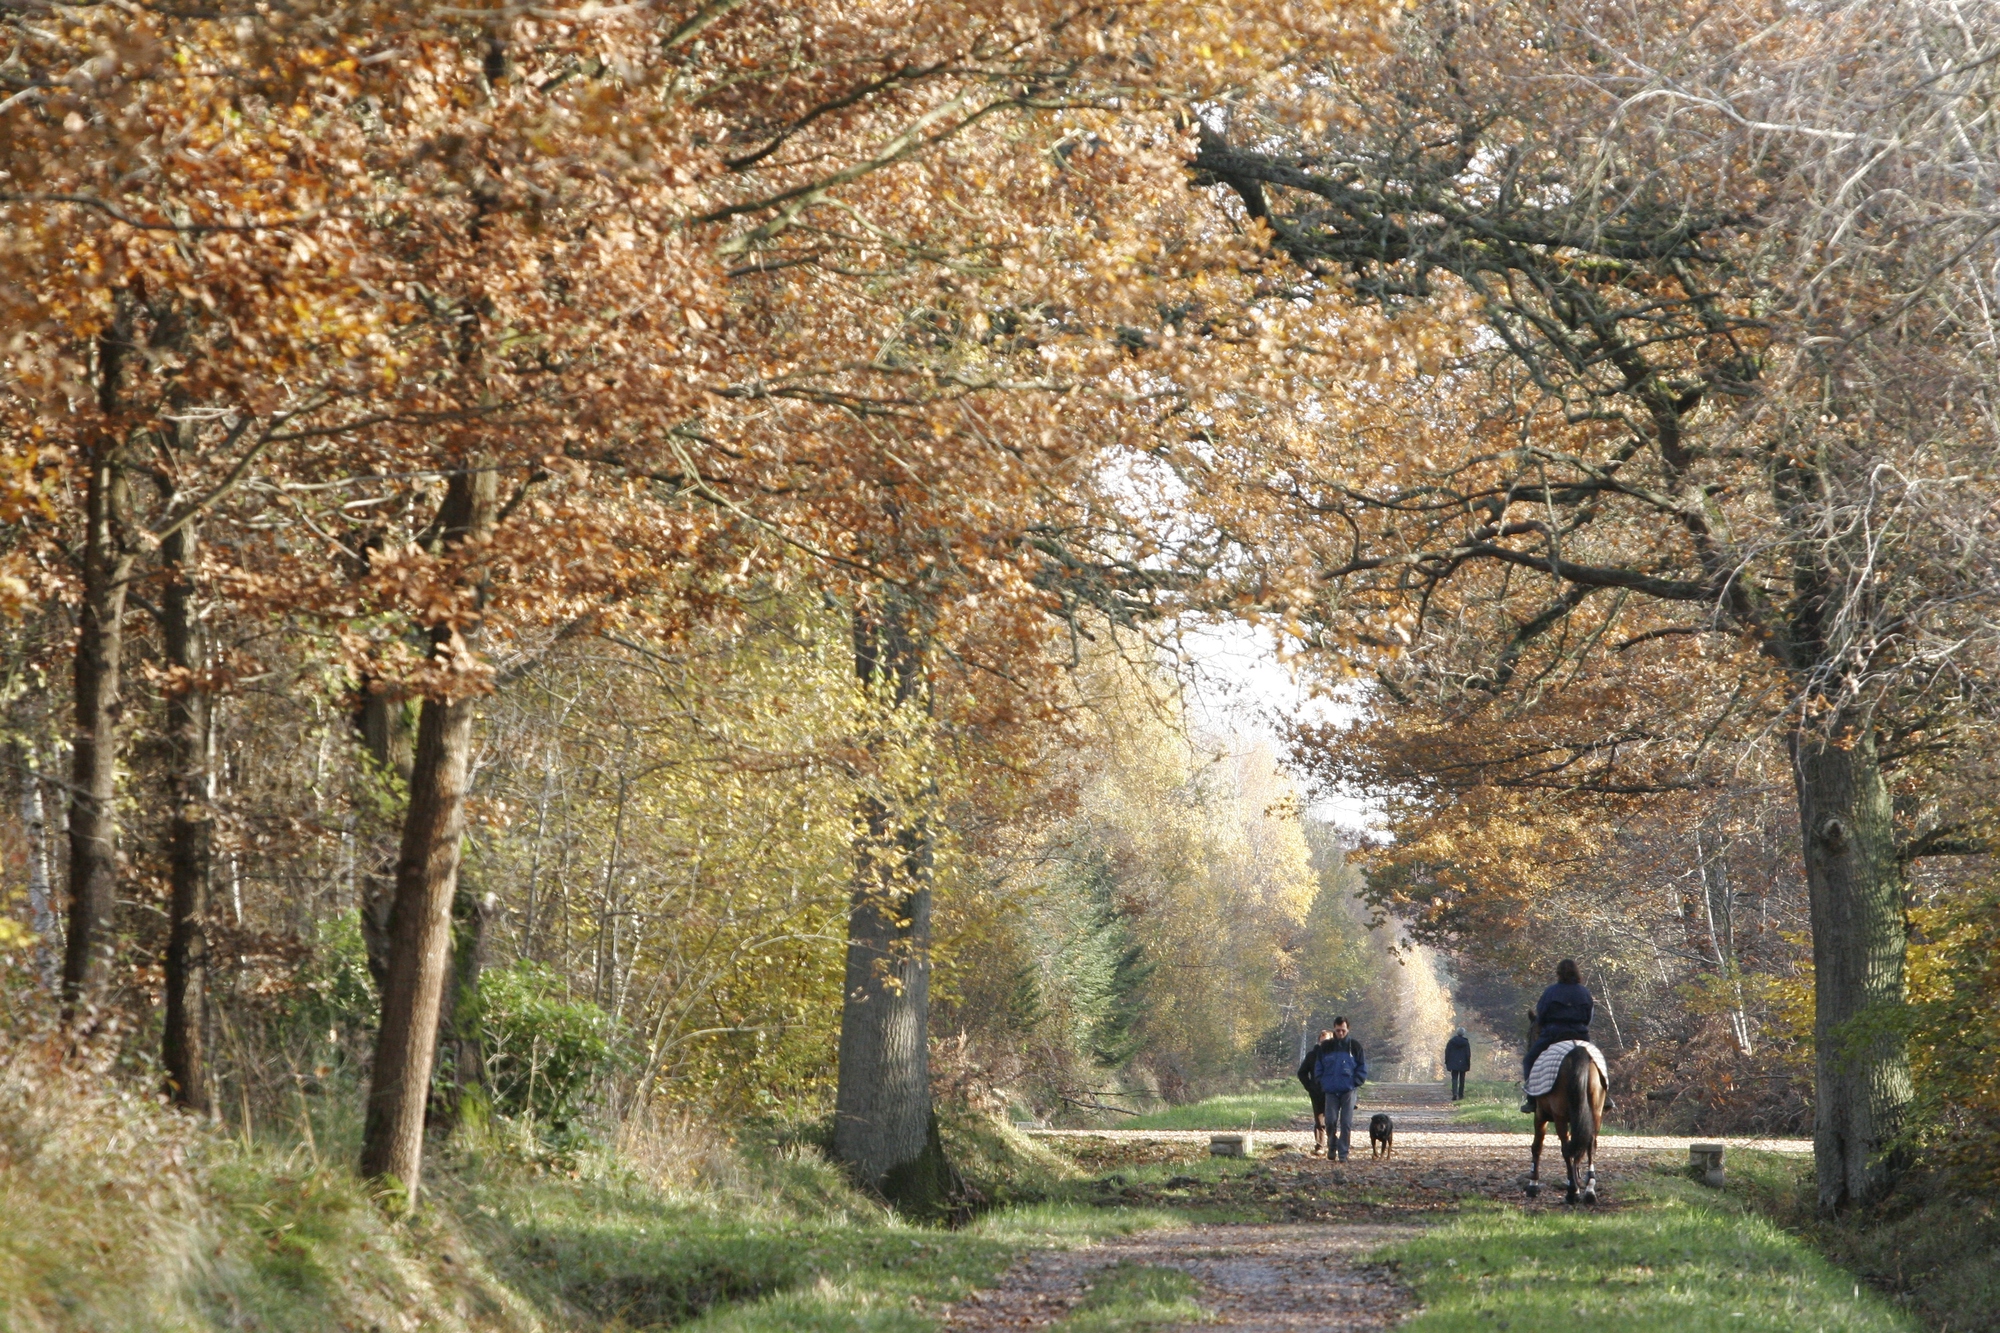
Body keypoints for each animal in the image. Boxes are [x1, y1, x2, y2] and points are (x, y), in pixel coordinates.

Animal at [1520, 1040, 1600, 1200]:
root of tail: (1577, 1050)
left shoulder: (1540, 1116)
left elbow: (1537, 1146)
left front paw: (1533, 1185)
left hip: (1559, 1118)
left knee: (1566, 1149)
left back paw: (1572, 1191)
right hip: (1595, 1113)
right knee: (1590, 1147)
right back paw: (1589, 1190)